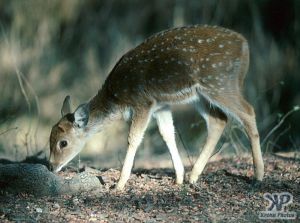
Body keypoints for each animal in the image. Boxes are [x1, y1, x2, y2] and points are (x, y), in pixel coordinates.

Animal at [50, 24, 264, 190]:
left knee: (248, 111)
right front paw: (179, 178)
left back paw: (258, 177)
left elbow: (133, 139)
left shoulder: (142, 102)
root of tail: (245, 46)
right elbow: (167, 133)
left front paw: (119, 184)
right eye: (49, 140)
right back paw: (193, 176)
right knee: (218, 120)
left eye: (63, 143)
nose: (52, 166)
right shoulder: (160, 105)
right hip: (201, 94)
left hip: (220, 82)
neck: (117, 98)